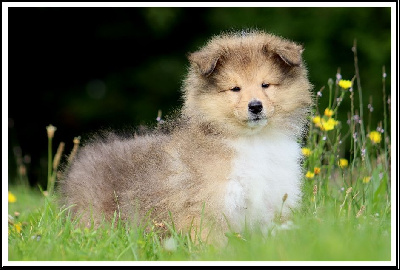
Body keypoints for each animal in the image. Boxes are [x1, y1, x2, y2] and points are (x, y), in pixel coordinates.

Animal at [57, 30, 312, 242]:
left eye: (266, 84)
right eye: (235, 88)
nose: (256, 106)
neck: (253, 141)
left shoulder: (273, 201)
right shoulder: (204, 207)